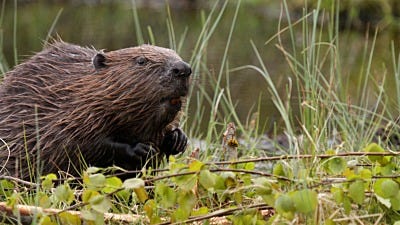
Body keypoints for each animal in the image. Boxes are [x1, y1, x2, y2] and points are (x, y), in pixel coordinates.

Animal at [0, 40, 192, 181]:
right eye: (141, 61)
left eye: (176, 54)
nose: (183, 69)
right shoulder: (65, 115)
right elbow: (79, 144)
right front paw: (140, 149)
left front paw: (178, 139)